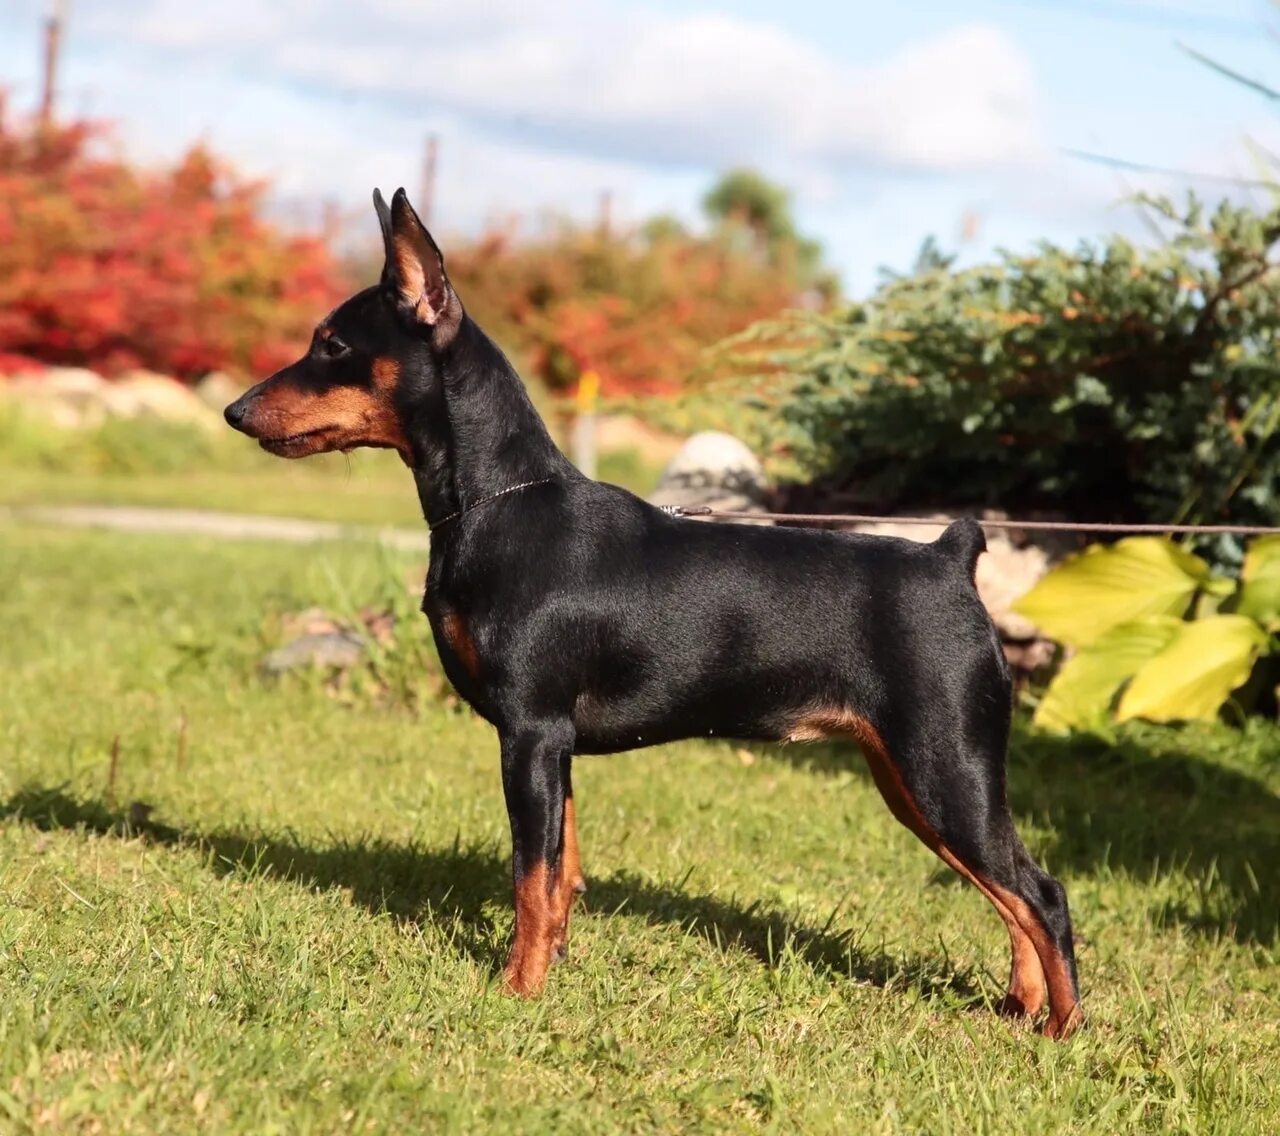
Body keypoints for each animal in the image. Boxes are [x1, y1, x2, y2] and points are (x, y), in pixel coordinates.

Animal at [225, 186, 1085, 1038]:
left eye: (332, 345)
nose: (234, 411)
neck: (502, 502)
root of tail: (950, 557)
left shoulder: (530, 731)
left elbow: (529, 876)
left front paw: (517, 992)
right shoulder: (553, 745)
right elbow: (561, 873)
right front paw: (552, 967)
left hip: (943, 769)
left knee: (1042, 894)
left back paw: (1063, 1030)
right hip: (914, 780)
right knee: (1009, 896)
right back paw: (1019, 1008)